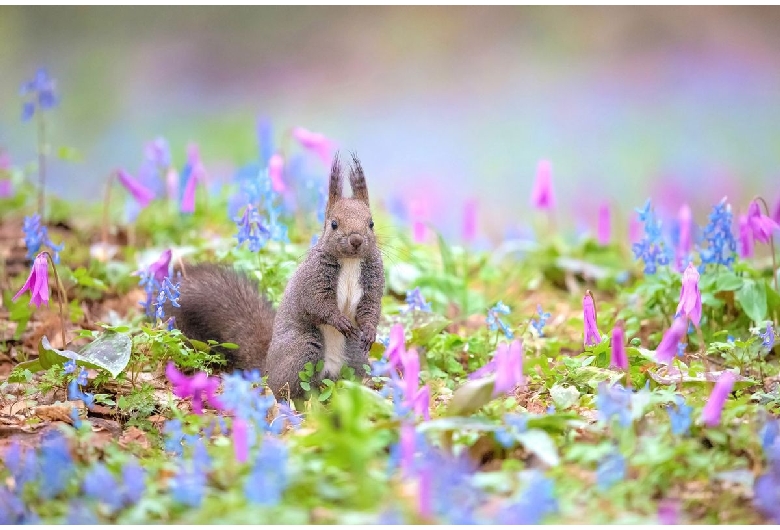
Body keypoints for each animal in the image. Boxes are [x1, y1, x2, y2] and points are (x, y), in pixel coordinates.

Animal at [168, 153, 384, 400]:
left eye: (371, 223)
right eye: (334, 224)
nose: (356, 240)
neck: (349, 262)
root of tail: (267, 368)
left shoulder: (373, 281)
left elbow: (370, 307)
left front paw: (369, 330)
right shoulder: (313, 279)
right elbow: (318, 304)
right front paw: (339, 320)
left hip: (355, 355)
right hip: (302, 350)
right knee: (286, 388)